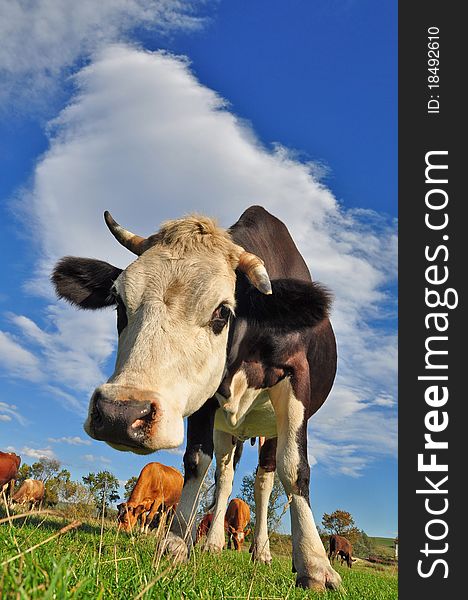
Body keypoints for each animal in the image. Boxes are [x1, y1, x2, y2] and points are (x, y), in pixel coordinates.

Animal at [52, 206, 340, 592]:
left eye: (222, 312)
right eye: (119, 305)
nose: (119, 414)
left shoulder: (296, 380)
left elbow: (294, 468)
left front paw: (314, 565)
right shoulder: (205, 397)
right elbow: (196, 462)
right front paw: (176, 544)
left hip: (268, 429)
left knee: (265, 479)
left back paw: (262, 552)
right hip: (228, 429)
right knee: (225, 475)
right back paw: (213, 542)